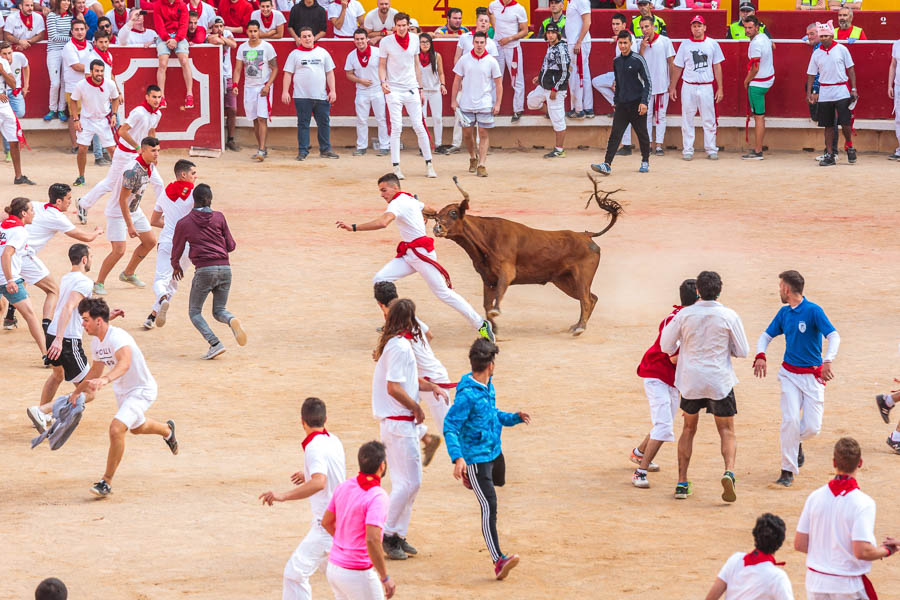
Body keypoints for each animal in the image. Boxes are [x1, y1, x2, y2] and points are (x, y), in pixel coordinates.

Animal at [428, 175, 624, 338]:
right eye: (437, 216)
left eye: (453, 213)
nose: (437, 228)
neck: (484, 241)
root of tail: (586, 235)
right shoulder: (487, 278)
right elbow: (486, 304)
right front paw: (494, 329)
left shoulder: (506, 272)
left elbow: (497, 296)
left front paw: (496, 314)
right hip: (564, 281)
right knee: (592, 298)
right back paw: (576, 326)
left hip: (581, 277)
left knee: (586, 299)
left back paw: (580, 328)